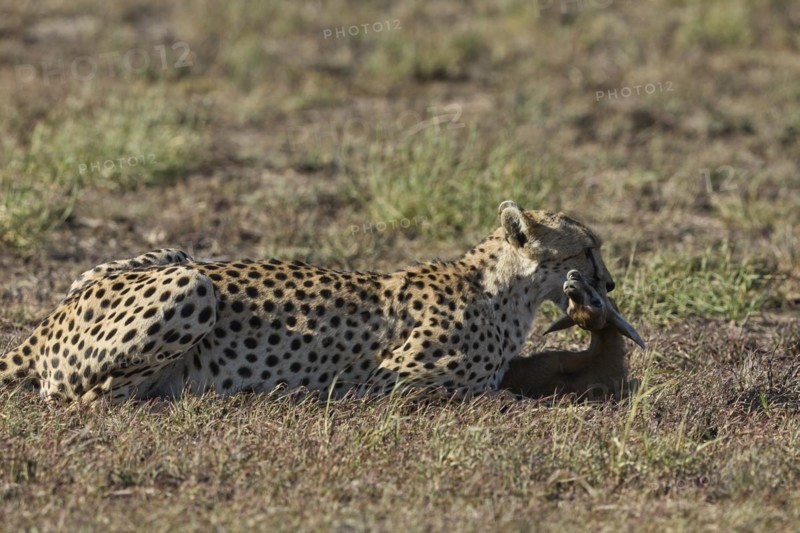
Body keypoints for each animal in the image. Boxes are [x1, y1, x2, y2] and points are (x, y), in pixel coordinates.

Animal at [0, 200, 641, 404]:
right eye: (587, 248)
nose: (608, 286)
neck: (500, 290)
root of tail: (46, 322)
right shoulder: (392, 380)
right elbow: (484, 390)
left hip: (176, 256)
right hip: (192, 284)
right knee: (84, 396)